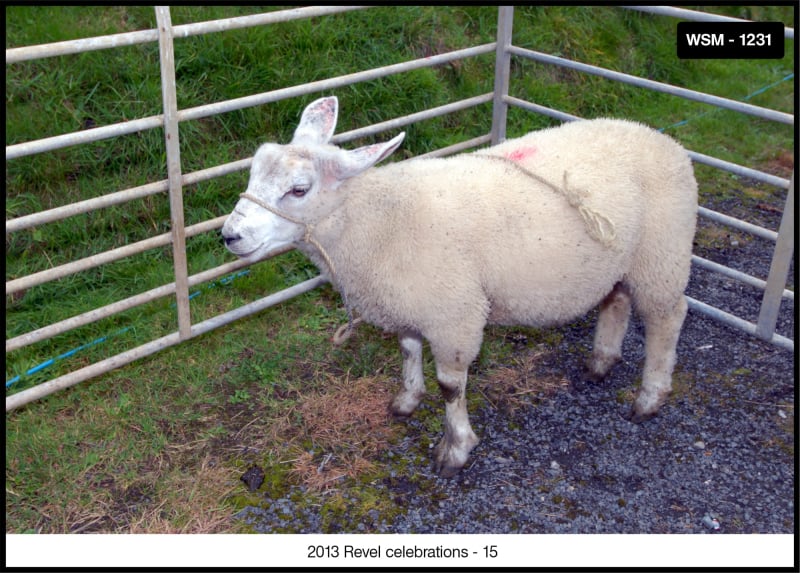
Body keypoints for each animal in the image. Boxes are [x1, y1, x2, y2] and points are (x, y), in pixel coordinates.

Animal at [222, 96, 696, 476]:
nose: (229, 236)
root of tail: (662, 139)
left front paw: (456, 449)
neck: (378, 220)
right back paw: (601, 361)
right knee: (616, 299)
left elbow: (451, 387)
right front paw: (407, 399)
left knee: (667, 317)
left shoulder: (454, 314)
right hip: (622, 258)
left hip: (663, 254)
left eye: (299, 190)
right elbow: (407, 350)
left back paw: (650, 396)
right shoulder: (411, 302)